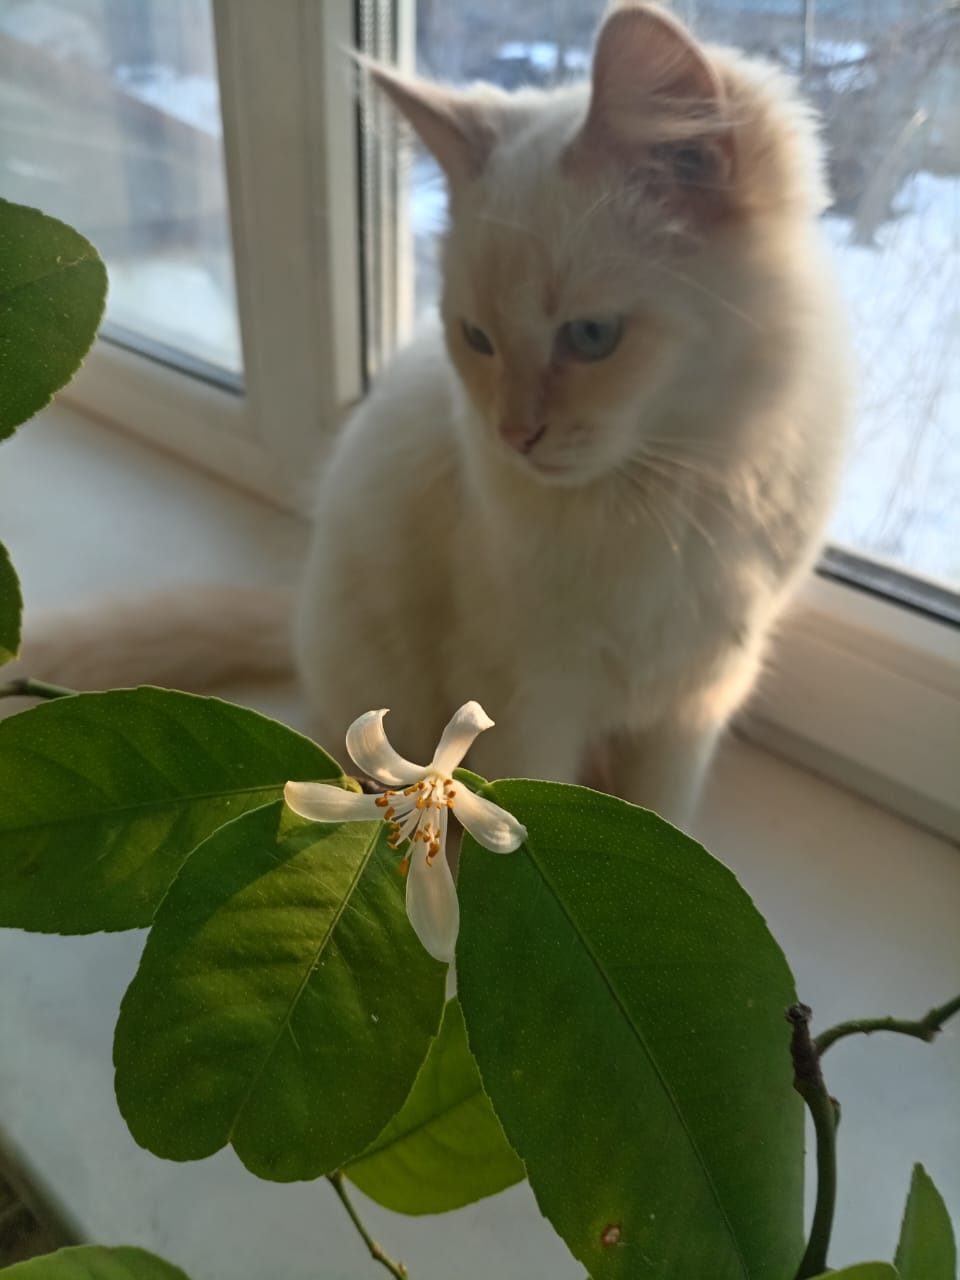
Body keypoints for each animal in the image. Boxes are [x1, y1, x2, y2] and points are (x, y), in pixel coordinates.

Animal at [291, 1, 851, 824]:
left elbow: (666, 820)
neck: (664, 500)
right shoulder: (530, 698)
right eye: (478, 339)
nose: (514, 437)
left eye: (591, 336)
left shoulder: (694, 705)